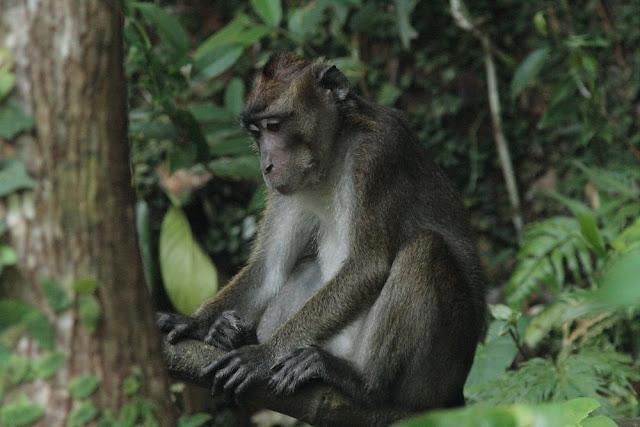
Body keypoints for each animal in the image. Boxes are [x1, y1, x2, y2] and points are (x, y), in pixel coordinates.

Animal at [158, 51, 488, 420]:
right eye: (257, 133)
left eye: (275, 126)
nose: (266, 165)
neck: (332, 154)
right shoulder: (284, 189)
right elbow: (269, 269)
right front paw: (195, 322)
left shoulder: (377, 154)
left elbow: (368, 266)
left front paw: (263, 355)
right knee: (306, 266)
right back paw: (230, 334)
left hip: (436, 376)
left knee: (425, 250)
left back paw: (363, 383)